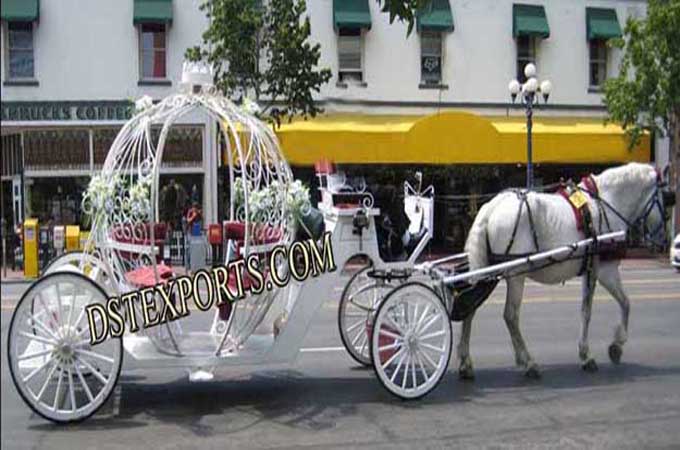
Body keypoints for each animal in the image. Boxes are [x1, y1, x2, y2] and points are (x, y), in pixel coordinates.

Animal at [460, 163, 668, 378]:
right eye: (665, 196)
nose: (663, 238)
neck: (605, 204)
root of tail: (491, 207)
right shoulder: (602, 270)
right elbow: (594, 309)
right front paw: (593, 353)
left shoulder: (597, 270)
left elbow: (624, 303)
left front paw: (614, 347)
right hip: (516, 275)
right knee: (510, 315)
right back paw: (528, 362)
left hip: (487, 271)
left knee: (470, 307)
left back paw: (467, 363)